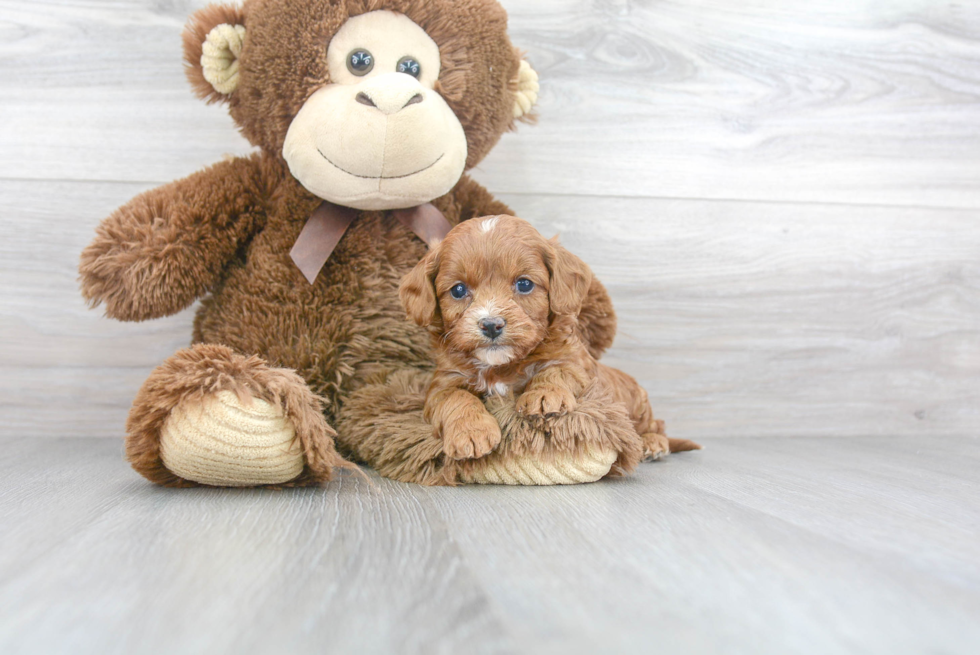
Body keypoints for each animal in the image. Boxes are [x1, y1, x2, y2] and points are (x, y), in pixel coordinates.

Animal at [396, 215, 696, 462]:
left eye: (524, 284)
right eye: (458, 290)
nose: (491, 325)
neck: (501, 366)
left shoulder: (575, 364)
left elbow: (556, 371)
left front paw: (543, 395)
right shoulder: (443, 384)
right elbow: (455, 398)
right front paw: (471, 431)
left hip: (639, 406)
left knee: (657, 425)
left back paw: (654, 444)